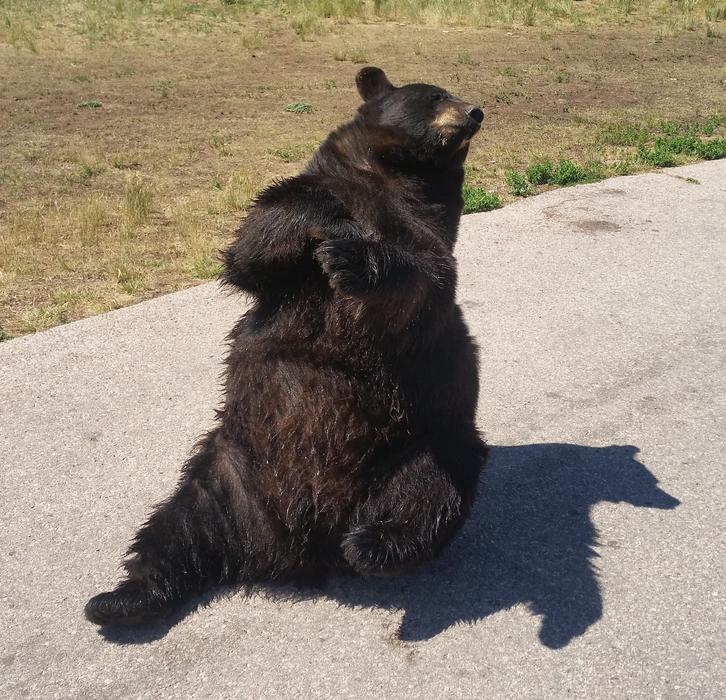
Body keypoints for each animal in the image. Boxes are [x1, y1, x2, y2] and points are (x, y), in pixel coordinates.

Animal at [85, 67, 488, 626]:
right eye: (434, 95)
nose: (476, 111)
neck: (395, 177)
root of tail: (295, 547)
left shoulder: (427, 231)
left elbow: (422, 280)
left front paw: (354, 258)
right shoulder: (302, 221)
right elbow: (253, 246)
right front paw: (323, 214)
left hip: (425, 440)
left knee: (432, 490)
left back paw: (372, 544)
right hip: (226, 472)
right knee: (175, 526)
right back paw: (119, 599)